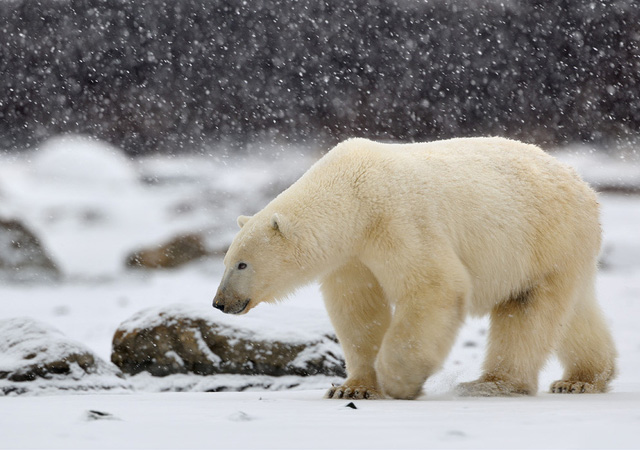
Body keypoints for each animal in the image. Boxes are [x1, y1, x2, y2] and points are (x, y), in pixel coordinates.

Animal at [212, 138, 616, 400]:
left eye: (242, 263)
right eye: (226, 262)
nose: (220, 302)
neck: (351, 193)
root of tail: (584, 186)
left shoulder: (396, 218)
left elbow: (434, 286)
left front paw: (399, 382)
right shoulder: (352, 256)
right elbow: (358, 311)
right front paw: (352, 387)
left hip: (544, 237)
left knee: (527, 310)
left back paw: (491, 383)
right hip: (561, 249)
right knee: (572, 311)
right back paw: (582, 379)